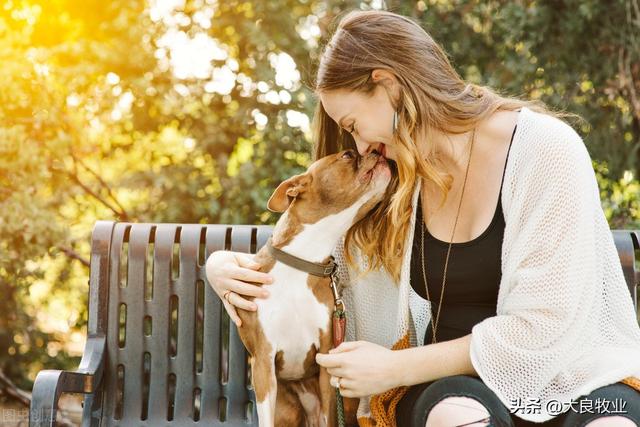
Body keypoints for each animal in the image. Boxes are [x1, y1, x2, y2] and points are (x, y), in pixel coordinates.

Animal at [238, 149, 392, 426]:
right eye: (348, 154)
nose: (375, 150)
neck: (302, 260)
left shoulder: (327, 358)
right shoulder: (263, 363)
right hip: (286, 408)